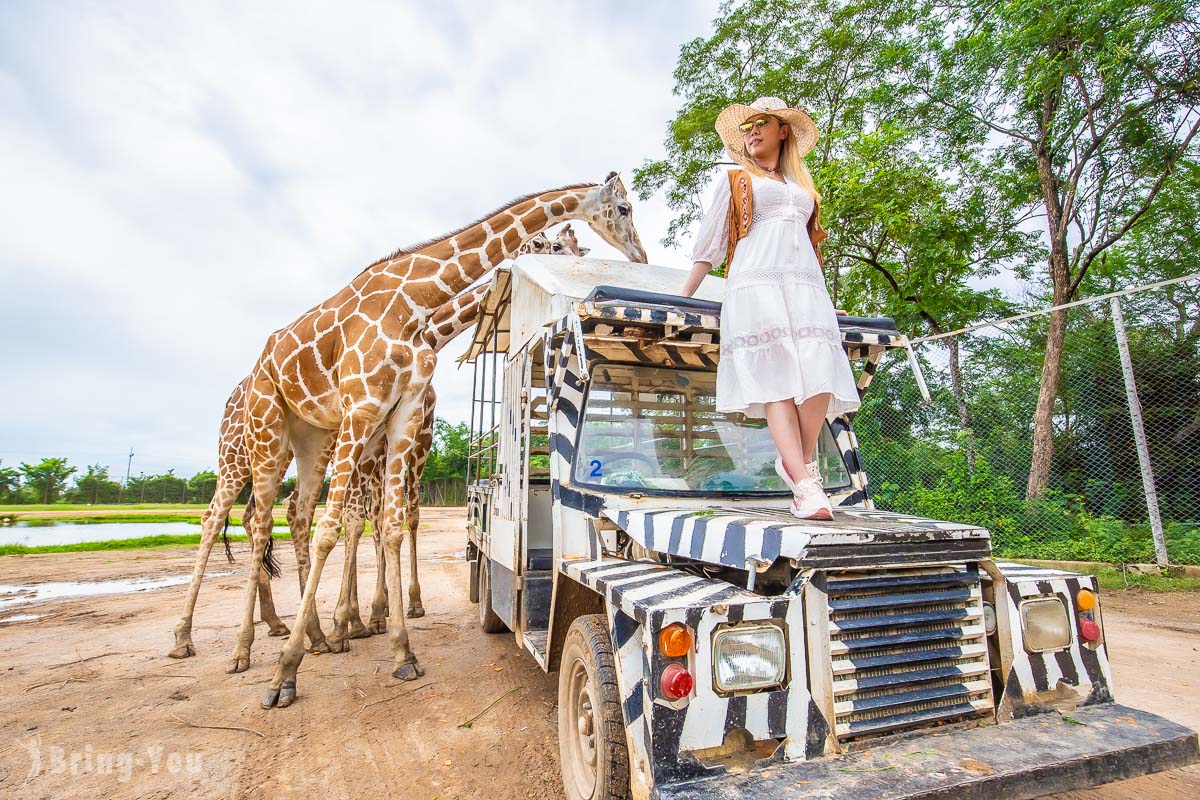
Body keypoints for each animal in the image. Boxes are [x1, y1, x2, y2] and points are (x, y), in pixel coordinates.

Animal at [249, 173, 648, 705]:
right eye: (623, 208)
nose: (640, 255)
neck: (413, 302)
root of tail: (262, 358)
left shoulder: (399, 416)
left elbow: (391, 525)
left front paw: (397, 645)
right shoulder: (364, 406)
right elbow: (334, 530)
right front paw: (288, 671)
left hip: (314, 435)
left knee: (296, 512)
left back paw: (313, 633)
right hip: (271, 426)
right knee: (261, 520)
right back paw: (260, 643)